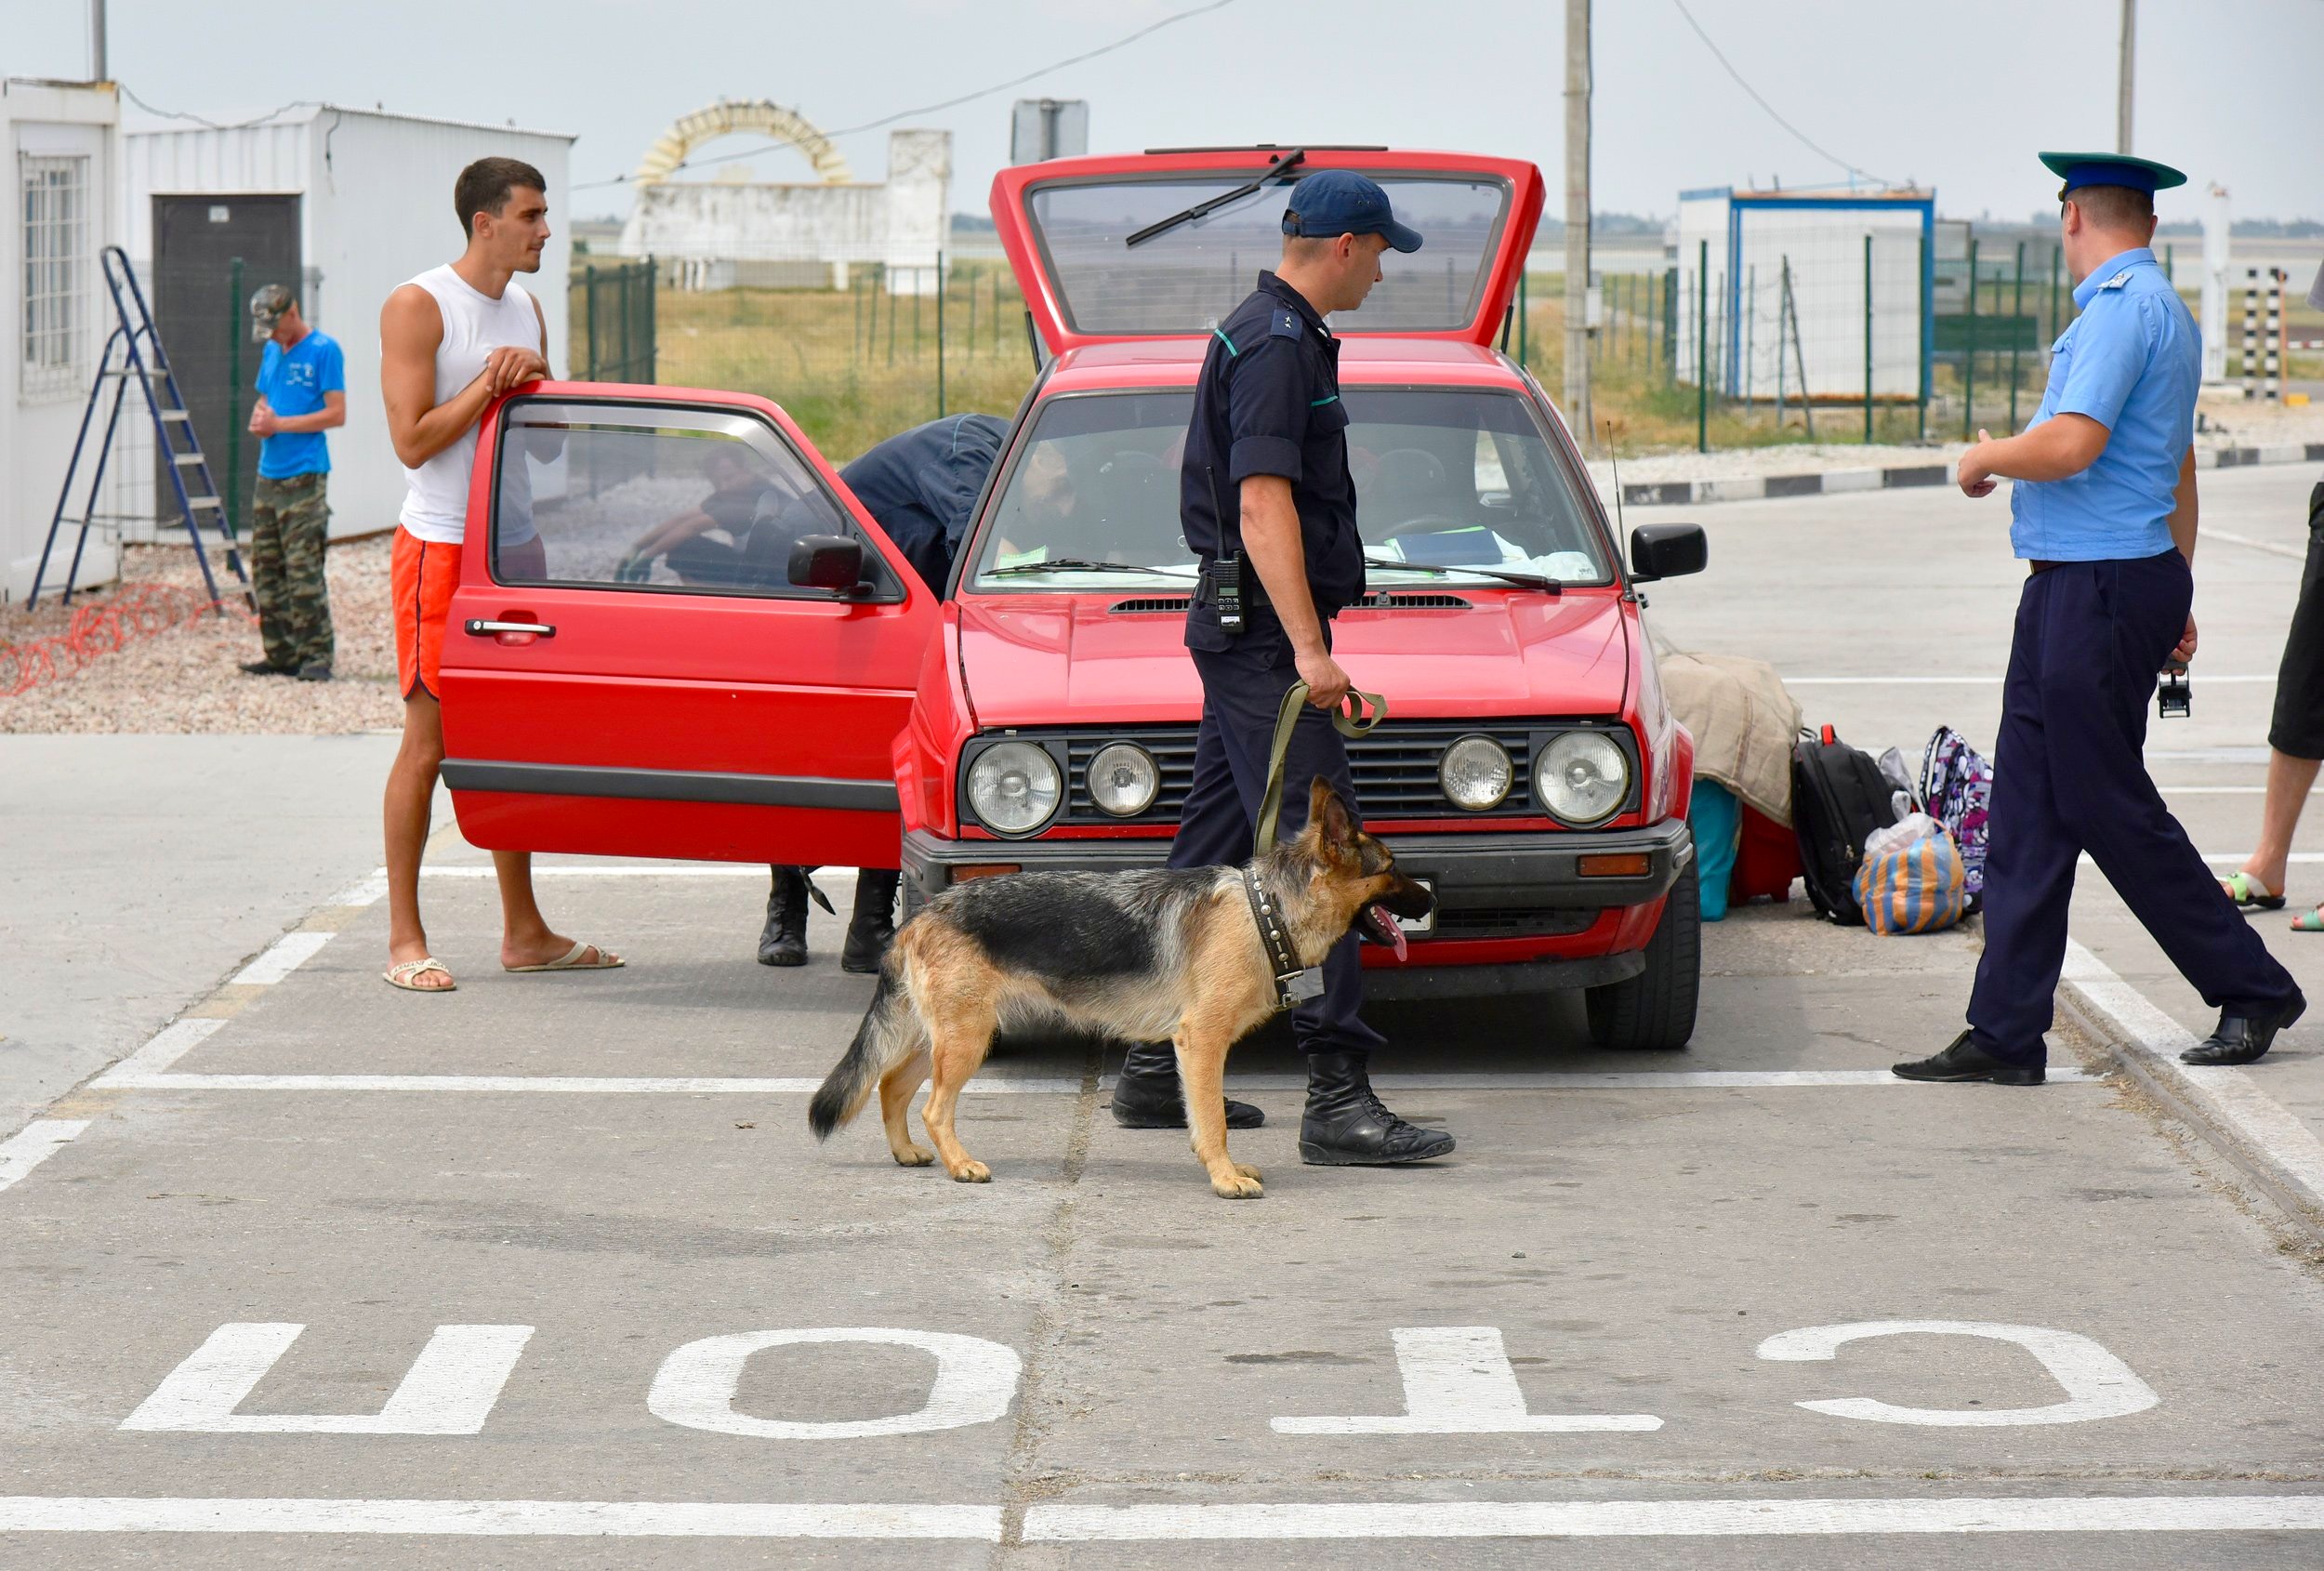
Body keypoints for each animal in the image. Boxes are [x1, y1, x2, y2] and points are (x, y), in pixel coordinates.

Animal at [813, 781, 1432, 1199]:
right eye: (1391, 867)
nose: (1428, 899)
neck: (1266, 910)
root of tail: (921, 917)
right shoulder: (1202, 1042)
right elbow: (1213, 1119)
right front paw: (1224, 1176)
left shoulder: (1196, 1049)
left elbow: (1203, 1117)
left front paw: (1222, 1167)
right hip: (966, 1040)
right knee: (933, 1108)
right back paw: (960, 1164)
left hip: (943, 1036)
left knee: (891, 1086)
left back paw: (906, 1154)